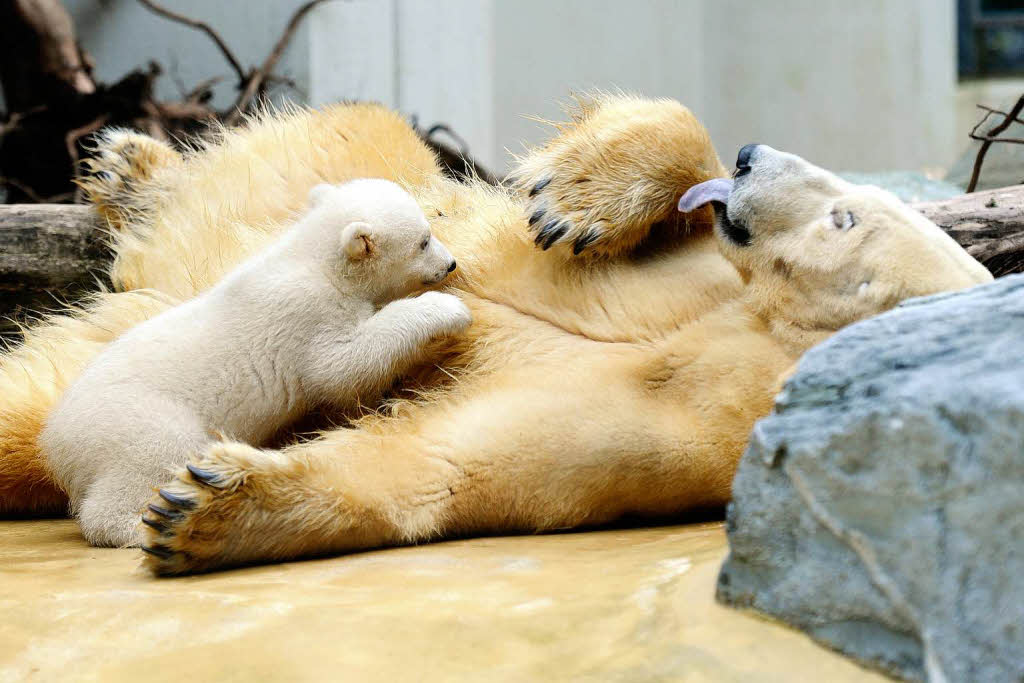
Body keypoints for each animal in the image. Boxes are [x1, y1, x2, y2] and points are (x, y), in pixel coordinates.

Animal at [0, 93, 987, 573]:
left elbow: (442, 460)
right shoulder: (697, 281)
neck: (754, 332)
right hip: (294, 180)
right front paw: (578, 197)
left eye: (845, 217)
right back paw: (128, 165)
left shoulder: (687, 432)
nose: (754, 160)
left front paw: (206, 507)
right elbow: (643, 195)